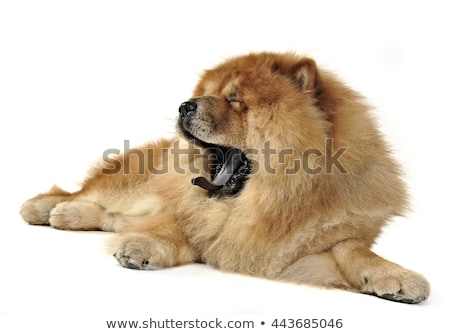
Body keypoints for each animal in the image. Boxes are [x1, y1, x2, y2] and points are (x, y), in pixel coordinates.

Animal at [20, 51, 428, 302]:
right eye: (207, 94)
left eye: (236, 101)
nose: (184, 105)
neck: (267, 202)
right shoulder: (190, 216)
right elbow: (170, 228)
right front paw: (139, 247)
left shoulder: (311, 248)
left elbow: (356, 252)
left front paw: (400, 279)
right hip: (130, 183)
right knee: (85, 192)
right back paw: (46, 209)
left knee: (108, 214)